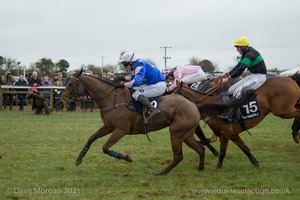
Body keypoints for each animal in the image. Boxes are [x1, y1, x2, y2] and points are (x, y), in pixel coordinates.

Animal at [60, 69, 206, 175]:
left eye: (71, 84)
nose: (63, 100)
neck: (113, 100)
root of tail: (193, 106)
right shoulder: (108, 126)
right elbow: (91, 138)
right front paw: (79, 158)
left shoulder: (120, 130)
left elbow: (105, 148)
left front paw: (127, 158)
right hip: (186, 134)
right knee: (201, 148)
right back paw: (200, 168)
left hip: (176, 134)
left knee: (178, 156)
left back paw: (162, 172)